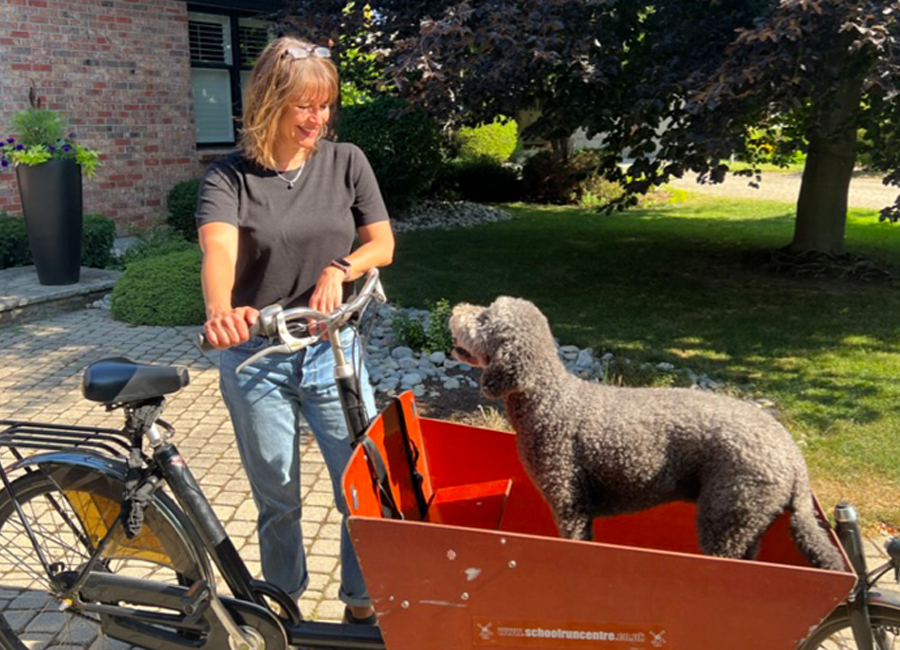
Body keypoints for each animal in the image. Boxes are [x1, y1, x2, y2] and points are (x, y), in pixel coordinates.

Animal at [454, 296, 848, 568]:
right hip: (745, 521)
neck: (550, 399)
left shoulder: (570, 501)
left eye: (484, 317)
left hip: (727, 514)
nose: (456, 309)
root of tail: (795, 459)